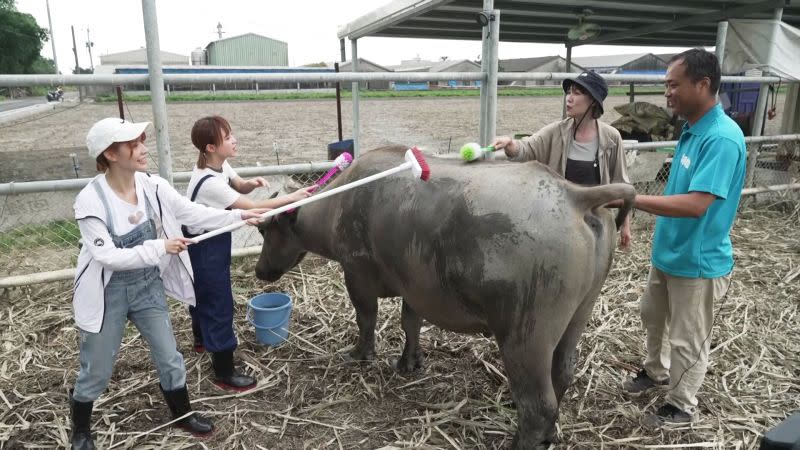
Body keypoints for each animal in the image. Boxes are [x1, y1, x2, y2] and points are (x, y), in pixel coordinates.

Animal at [256, 146, 632, 448]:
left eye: (264, 229)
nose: (260, 271)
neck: (342, 202)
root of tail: (573, 195)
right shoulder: (415, 285)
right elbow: (410, 323)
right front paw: (410, 362)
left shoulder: (357, 273)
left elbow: (366, 319)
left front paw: (361, 354)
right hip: (579, 315)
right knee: (562, 375)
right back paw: (551, 434)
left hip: (527, 336)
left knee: (538, 404)